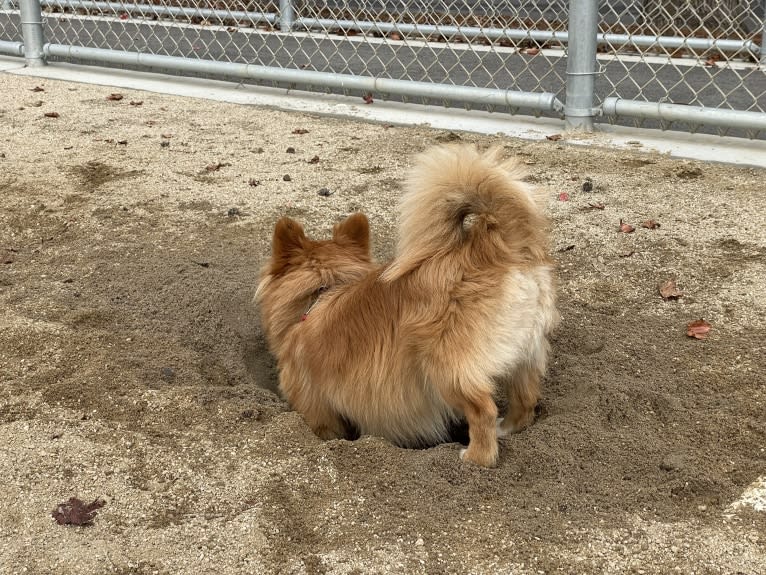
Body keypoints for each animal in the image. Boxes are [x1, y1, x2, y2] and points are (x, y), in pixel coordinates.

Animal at [256, 145, 560, 468]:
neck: (322, 292)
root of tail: (493, 245)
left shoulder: (314, 405)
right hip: (527, 356)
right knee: (525, 400)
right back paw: (508, 427)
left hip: (445, 370)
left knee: (482, 411)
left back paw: (475, 457)